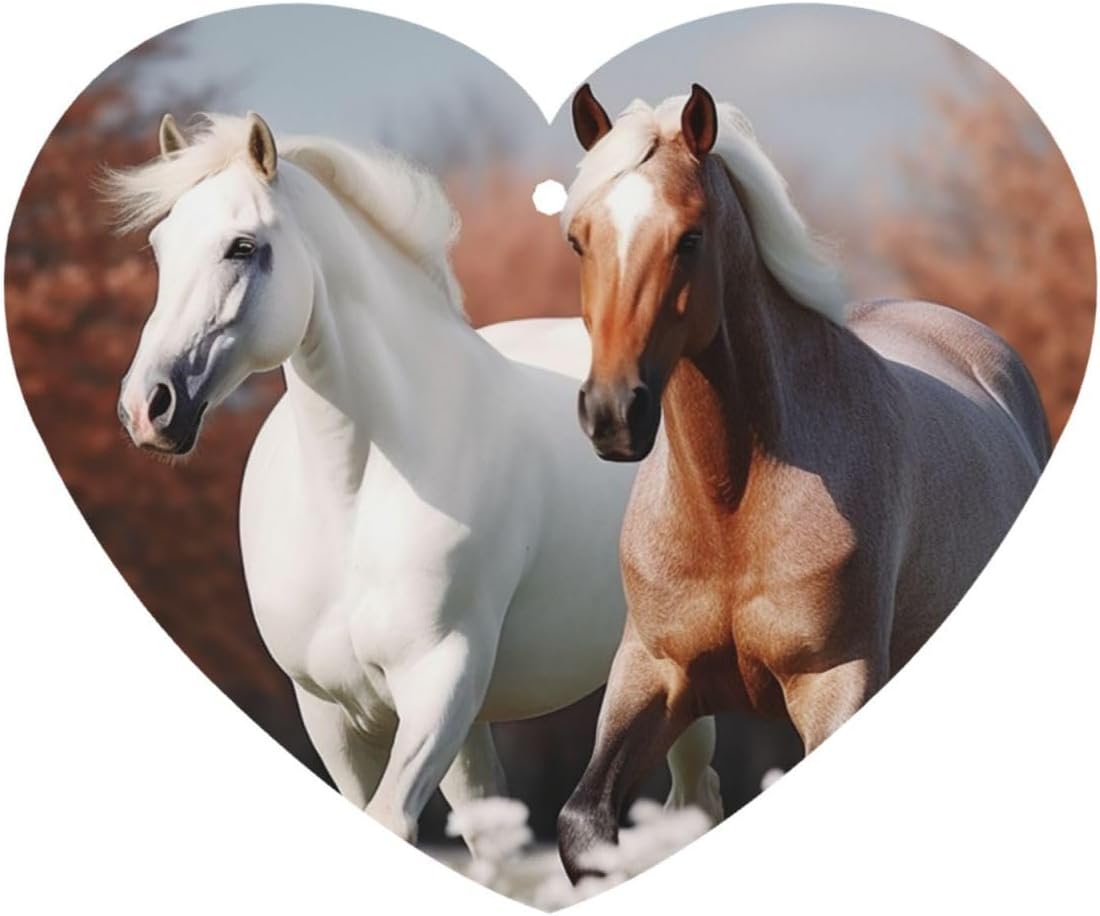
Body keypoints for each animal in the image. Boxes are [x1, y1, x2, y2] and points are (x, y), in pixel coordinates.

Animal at [108, 111, 723, 853]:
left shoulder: (439, 683)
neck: (353, 499)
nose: (148, 407)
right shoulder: (329, 710)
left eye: (243, 246)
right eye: (160, 247)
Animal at [555, 84, 1050, 879]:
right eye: (580, 239)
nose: (612, 414)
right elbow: (583, 822)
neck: (734, 499)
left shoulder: (834, 681)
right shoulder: (651, 673)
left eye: (689, 238)